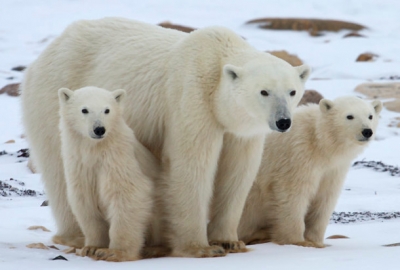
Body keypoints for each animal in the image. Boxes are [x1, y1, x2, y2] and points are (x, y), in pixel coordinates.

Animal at [58, 87, 153, 262]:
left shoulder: (118, 160)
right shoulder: (80, 167)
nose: (99, 129)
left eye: (107, 110)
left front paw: (114, 252)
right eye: (84, 110)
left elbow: (128, 195)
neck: (96, 150)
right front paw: (92, 247)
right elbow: (85, 202)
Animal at [238, 96, 382, 248]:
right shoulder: (297, 155)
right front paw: (298, 241)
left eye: (370, 116)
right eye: (349, 116)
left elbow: (324, 198)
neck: (319, 141)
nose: (367, 131)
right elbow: (292, 194)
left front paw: (316, 241)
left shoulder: (333, 169)